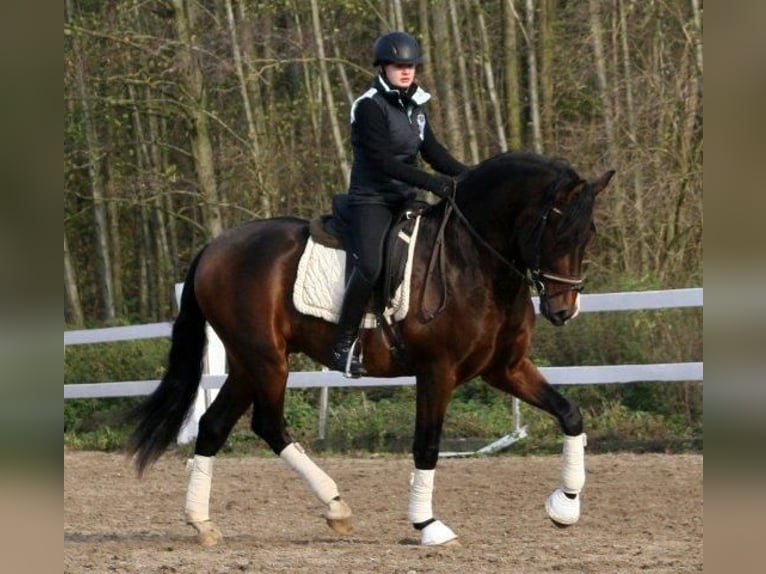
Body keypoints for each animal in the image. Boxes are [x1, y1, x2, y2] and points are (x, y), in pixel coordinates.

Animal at [129, 152, 616, 548]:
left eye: (588, 233)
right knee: (267, 424)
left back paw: (205, 523)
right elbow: (427, 445)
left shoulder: (506, 368)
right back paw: (334, 507)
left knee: (214, 426)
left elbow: (569, 414)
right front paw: (427, 526)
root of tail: (215, 247)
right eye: (556, 230)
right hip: (266, 360)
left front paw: (566, 505)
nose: (563, 310)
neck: (472, 261)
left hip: (249, 364)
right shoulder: (437, 372)